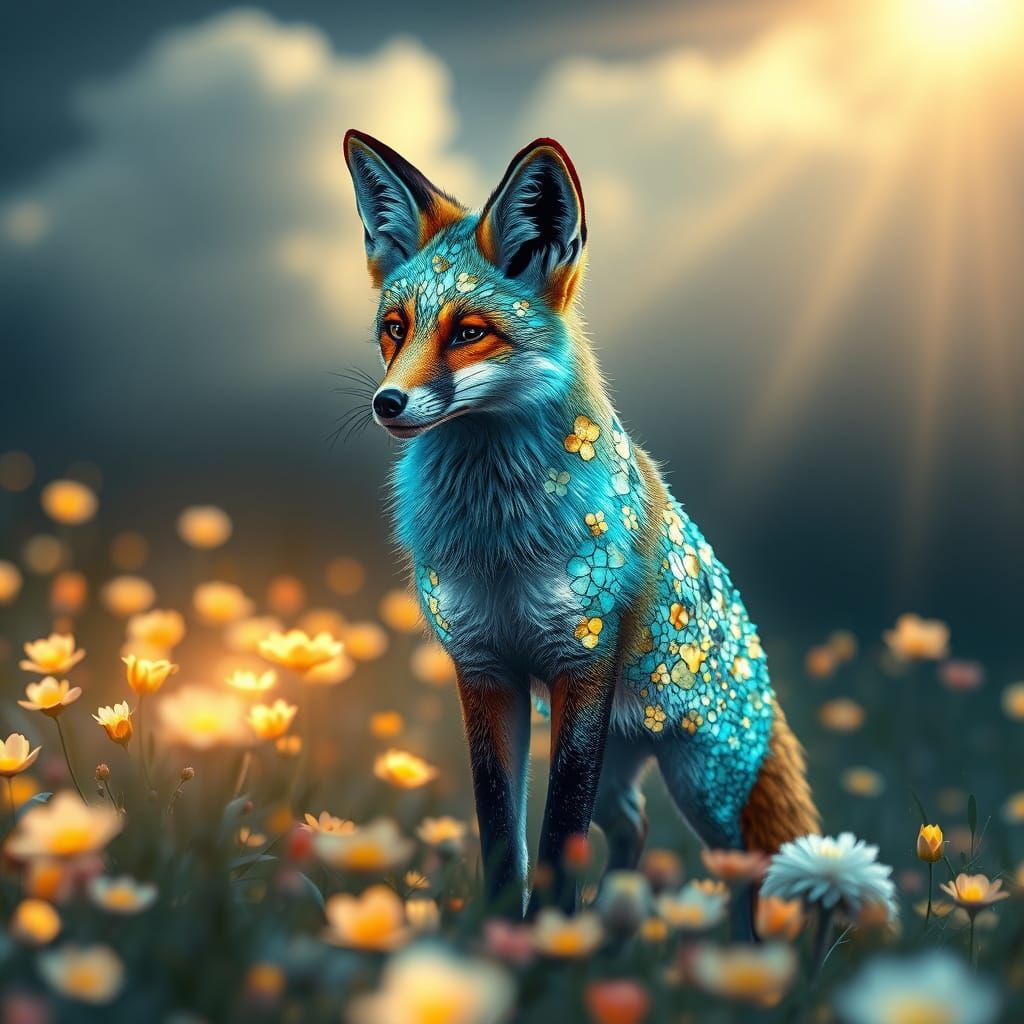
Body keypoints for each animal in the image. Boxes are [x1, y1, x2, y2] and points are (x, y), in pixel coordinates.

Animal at [343, 130, 819, 926]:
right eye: (394, 328)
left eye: (469, 332)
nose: (388, 403)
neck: (498, 542)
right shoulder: (484, 669)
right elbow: (503, 838)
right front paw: (508, 939)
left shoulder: (582, 666)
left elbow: (559, 833)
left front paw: (545, 941)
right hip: (629, 763)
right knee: (633, 829)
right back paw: (612, 933)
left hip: (702, 784)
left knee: (750, 871)